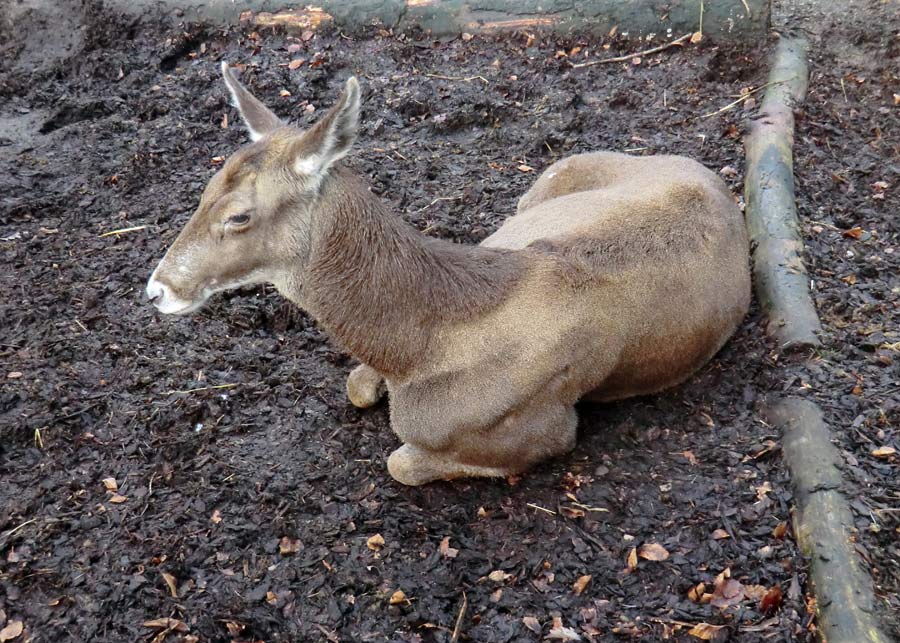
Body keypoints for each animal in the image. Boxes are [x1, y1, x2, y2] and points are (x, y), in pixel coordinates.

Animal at [148, 66, 752, 488]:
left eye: (239, 216)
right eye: (203, 189)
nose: (157, 289)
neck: (417, 350)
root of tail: (712, 176)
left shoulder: (546, 428)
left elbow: (401, 462)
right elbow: (357, 386)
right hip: (545, 183)